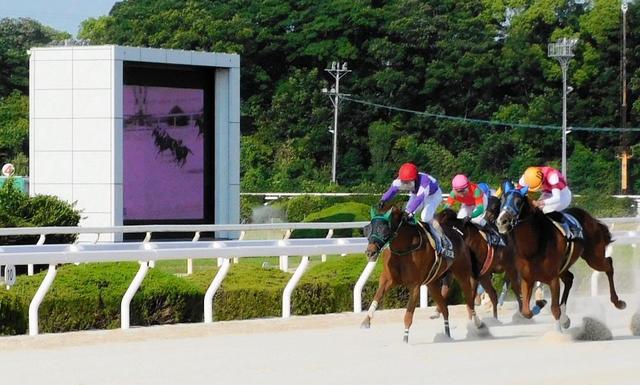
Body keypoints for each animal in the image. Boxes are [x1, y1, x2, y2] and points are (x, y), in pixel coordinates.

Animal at [360, 206, 484, 340]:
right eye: (368, 229)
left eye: (385, 230)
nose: (370, 252)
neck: (403, 249)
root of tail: (458, 235)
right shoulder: (387, 279)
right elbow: (377, 296)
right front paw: (366, 321)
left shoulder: (414, 284)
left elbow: (408, 315)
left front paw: (405, 339)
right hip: (432, 282)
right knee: (444, 308)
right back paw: (447, 335)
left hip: (462, 273)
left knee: (469, 299)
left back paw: (477, 323)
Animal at [496, 184, 624, 328]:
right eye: (502, 200)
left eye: (518, 201)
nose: (502, 221)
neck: (533, 247)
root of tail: (591, 219)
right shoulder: (527, 279)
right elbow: (526, 312)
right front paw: (541, 306)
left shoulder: (553, 279)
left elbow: (554, 310)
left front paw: (559, 319)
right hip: (565, 266)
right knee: (569, 278)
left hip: (594, 258)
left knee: (608, 264)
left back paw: (618, 302)